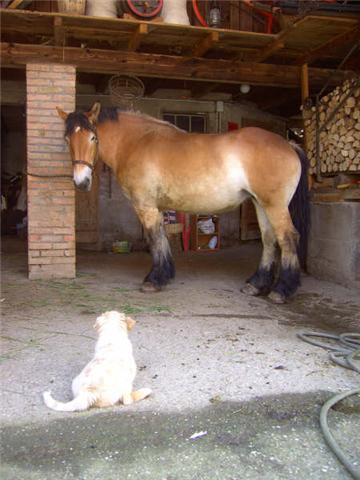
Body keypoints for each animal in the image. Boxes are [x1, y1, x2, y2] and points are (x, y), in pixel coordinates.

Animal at [57, 104, 310, 304]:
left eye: (93, 138)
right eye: (67, 139)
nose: (81, 181)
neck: (136, 142)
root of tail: (289, 144)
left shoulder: (145, 205)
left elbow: (154, 239)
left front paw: (154, 280)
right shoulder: (157, 208)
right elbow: (162, 238)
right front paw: (165, 274)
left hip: (274, 205)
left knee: (287, 238)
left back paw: (281, 290)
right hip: (260, 204)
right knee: (269, 240)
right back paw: (256, 284)